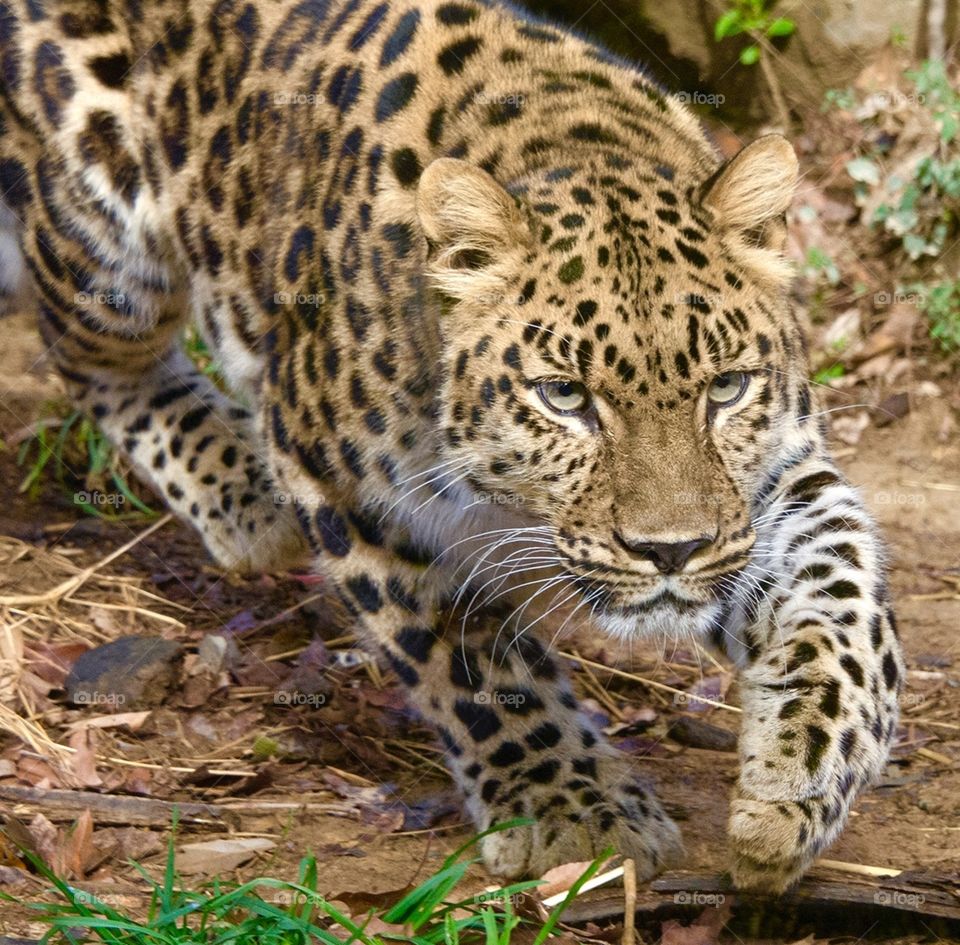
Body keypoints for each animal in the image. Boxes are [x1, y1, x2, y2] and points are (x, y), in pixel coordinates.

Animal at [0, 0, 904, 892]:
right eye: (564, 395)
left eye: (726, 387)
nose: (669, 551)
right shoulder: (348, 488)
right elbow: (470, 661)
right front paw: (571, 809)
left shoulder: (775, 481)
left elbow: (848, 606)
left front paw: (798, 782)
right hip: (103, 248)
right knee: (90, 356)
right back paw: (248, 498)